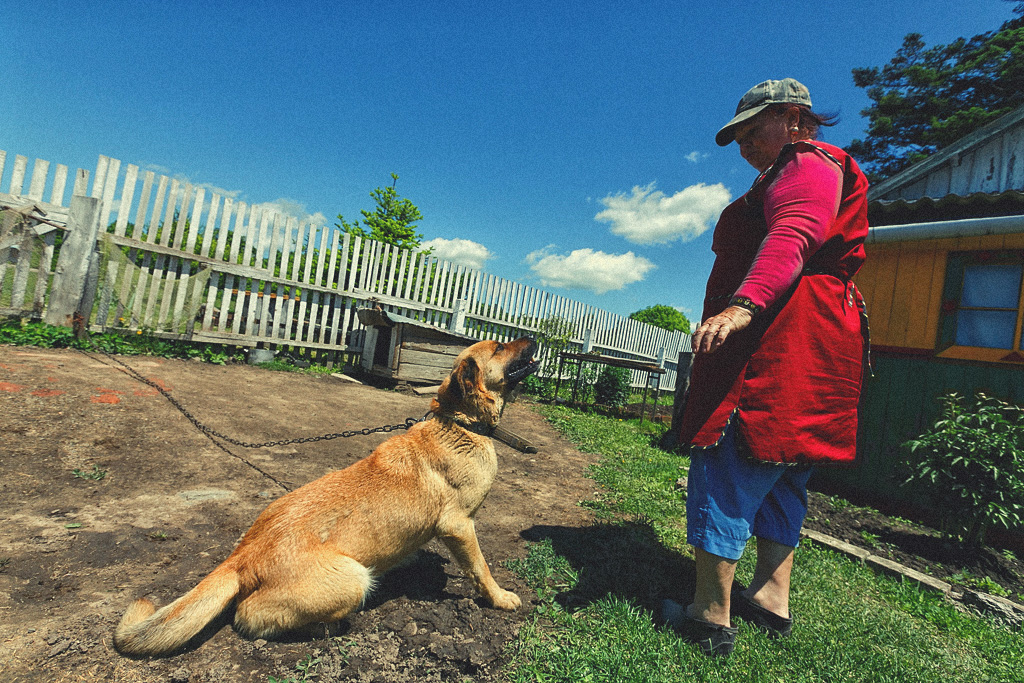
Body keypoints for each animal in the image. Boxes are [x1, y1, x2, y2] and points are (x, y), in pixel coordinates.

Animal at [115, 335, 540, 655]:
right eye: (500, 347)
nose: (534, 337)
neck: (459, 423)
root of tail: (242, 557)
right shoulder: (459, 526)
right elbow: (481, 569)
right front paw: (500, 598)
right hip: (353, 578)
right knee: (248, 616)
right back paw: (327, 627)